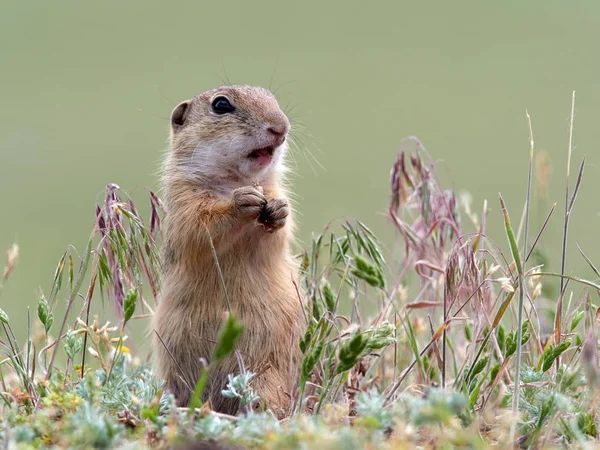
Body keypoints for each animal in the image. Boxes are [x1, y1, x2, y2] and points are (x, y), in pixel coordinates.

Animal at [152, 85, 304, 418]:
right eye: (221, 105)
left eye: (271, 97)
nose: (281, 127)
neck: (234, 180)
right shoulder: (185, 202)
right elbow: (202, 228)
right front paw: (243, 201)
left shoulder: (274, 189)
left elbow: (280, 232)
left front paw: (277, 210)